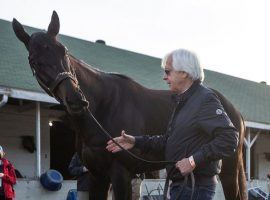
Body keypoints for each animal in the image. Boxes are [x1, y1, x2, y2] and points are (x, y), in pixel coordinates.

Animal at [12, 11, 247, 200]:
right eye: (34, 61)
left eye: (64, 51)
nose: (76, 100)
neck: (103, 107)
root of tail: (233, 109)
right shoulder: (98, 176)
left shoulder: (120, 174)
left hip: (228, 170)